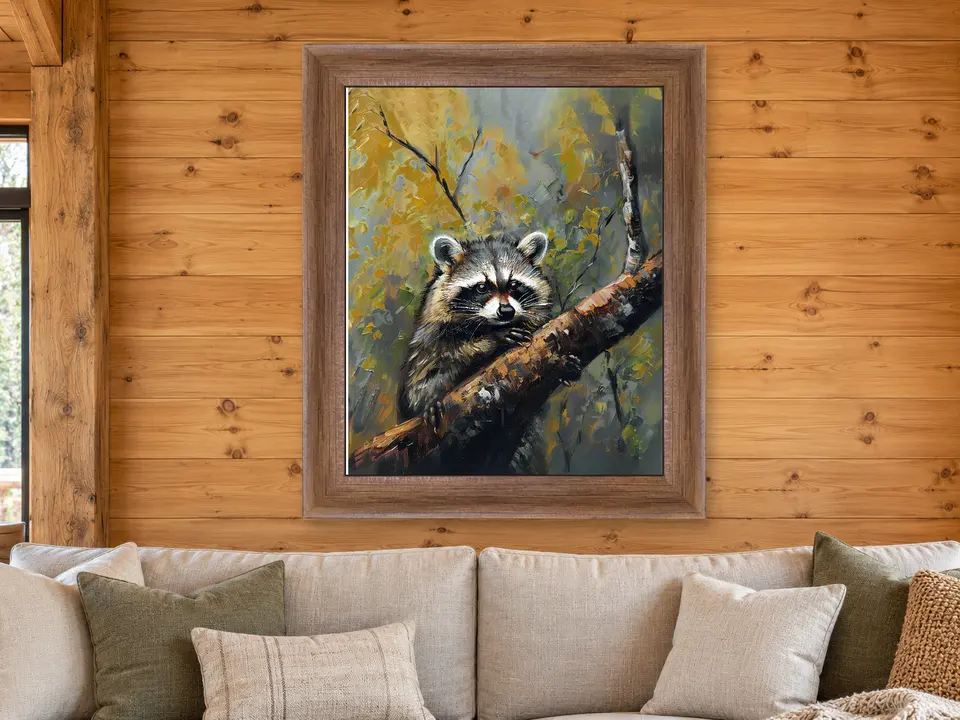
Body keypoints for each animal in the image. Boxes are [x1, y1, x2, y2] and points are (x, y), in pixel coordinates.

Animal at [398, 230, 556, 474]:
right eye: (482, 287)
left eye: (513, 284)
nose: (506, 311)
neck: (486, 324)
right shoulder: (431, 334)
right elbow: (437, 362)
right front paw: (492, 341)